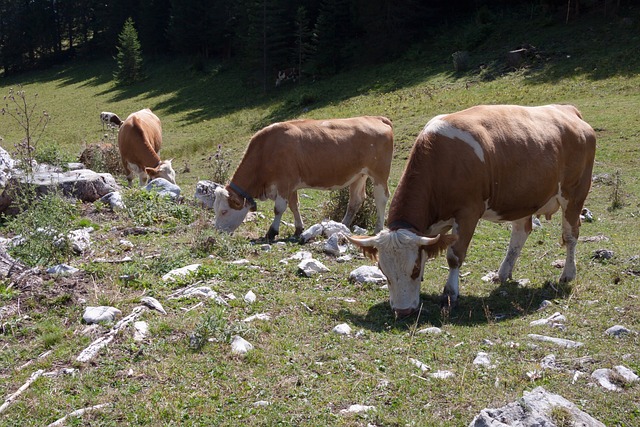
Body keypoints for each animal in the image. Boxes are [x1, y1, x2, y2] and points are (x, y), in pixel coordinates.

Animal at [215, 116, 396, 241]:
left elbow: (279, 208)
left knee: (381, 198)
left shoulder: (284, 183)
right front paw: (298, 228)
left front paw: (272, 232)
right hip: (358, 175)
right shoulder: (291, 185)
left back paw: (378, 228)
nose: (217, 232)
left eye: (224, 211)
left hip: (379, 173)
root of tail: (376, 118)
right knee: (355, 200)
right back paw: (343, 225)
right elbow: (294, 206)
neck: (265, 151)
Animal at [348, 104, 596, 318]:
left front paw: (450, 294)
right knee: (521, 232)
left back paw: (567, 274)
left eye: (414, 269)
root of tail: (567, 110)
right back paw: (503, 273)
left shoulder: (468, 213)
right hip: (524, 197)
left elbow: (454, 256)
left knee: (571, 235)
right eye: (383, 271)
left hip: (574, 194)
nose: (403, 311)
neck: (441, 162)